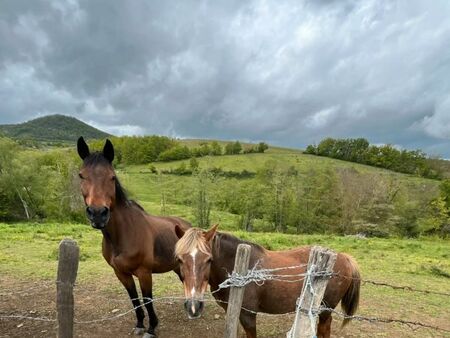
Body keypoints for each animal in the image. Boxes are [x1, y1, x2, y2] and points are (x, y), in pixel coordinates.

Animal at [77, 138, 190, 338]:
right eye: (81, 176)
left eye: (112, 177)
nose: (98, 214)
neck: (123, 234)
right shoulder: (121, 273)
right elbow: (134, 299)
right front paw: (139, 324)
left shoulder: (144, 273)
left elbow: (147, 299)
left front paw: (151, 328)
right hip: (177, 266)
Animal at [174, 224, 360, 338]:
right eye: (179, 260)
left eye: (209, 260)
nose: (193, 307)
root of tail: (345, 257)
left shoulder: (248, 315)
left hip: (325, 309)